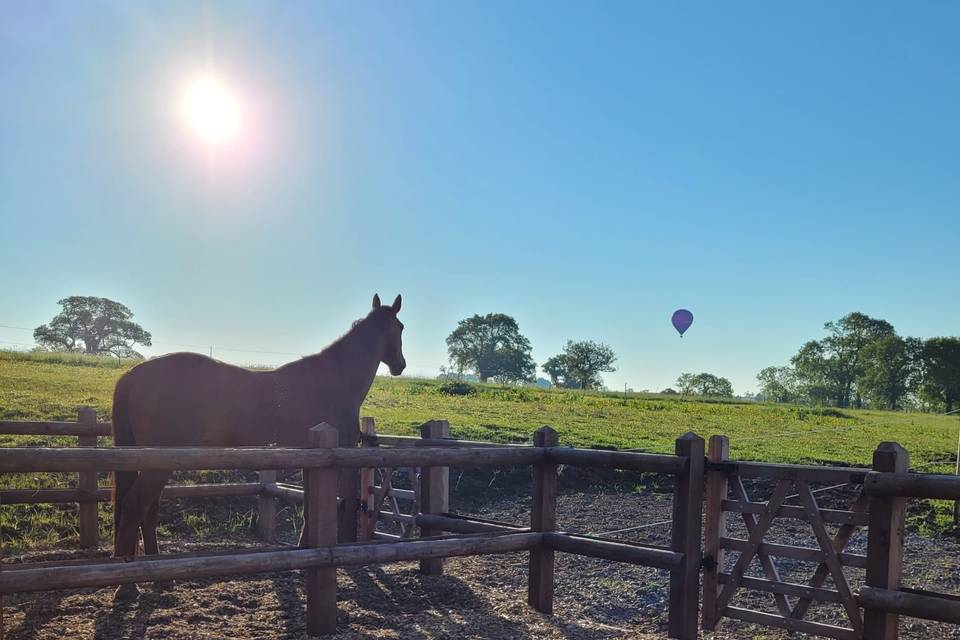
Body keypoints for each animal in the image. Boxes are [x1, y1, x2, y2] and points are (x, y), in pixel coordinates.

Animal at [110, 292, 404, 596]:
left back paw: (159, 577)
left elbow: (309, 505)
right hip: (158, 463)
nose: (401, 365)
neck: (335, 379)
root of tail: (131, 376)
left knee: (148, 508)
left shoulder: (309, 456)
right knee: (135, 505)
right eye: (400, 328)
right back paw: (127, 587)